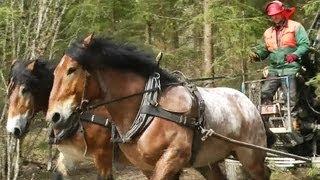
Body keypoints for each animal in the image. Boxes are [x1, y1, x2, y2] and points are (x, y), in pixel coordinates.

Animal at [45, 34, 270, 179]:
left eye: (72, 70)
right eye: (54, 73)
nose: (54, 117)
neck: (145, 108)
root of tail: (248, 103)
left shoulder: (171, 158)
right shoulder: (146, 166)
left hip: (250, 156)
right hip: (208, 160)